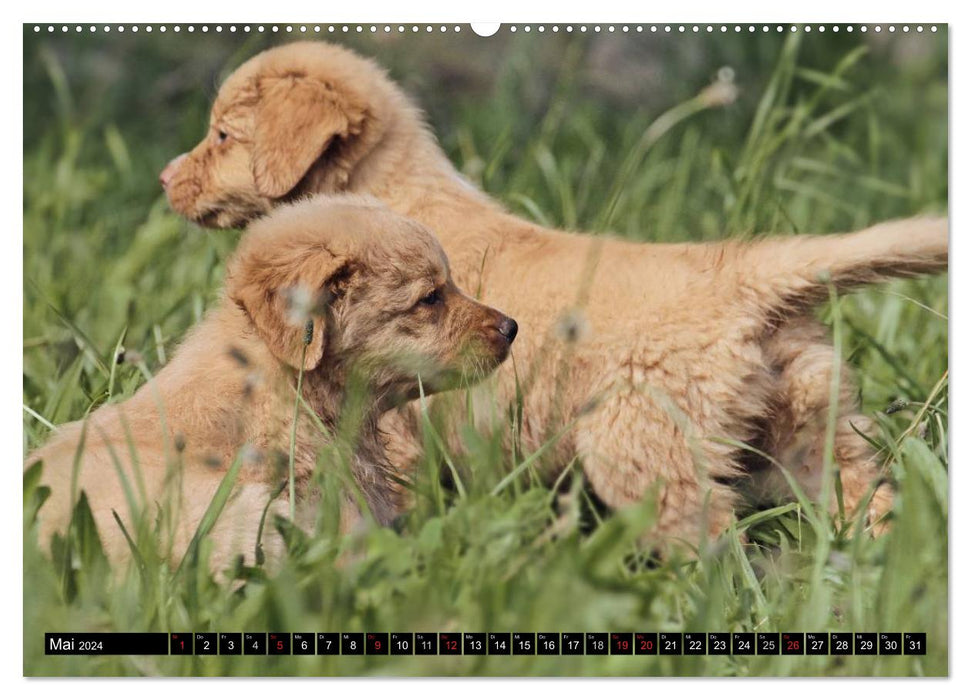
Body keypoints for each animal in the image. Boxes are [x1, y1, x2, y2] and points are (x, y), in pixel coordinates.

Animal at [161, 42, 948, 548]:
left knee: (715, 552)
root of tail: (742, 275)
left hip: (647, 453)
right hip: (815, 436)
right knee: (871, 506)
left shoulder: (397, 429)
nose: (165, 180)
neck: (391, 190)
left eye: (222, 135)